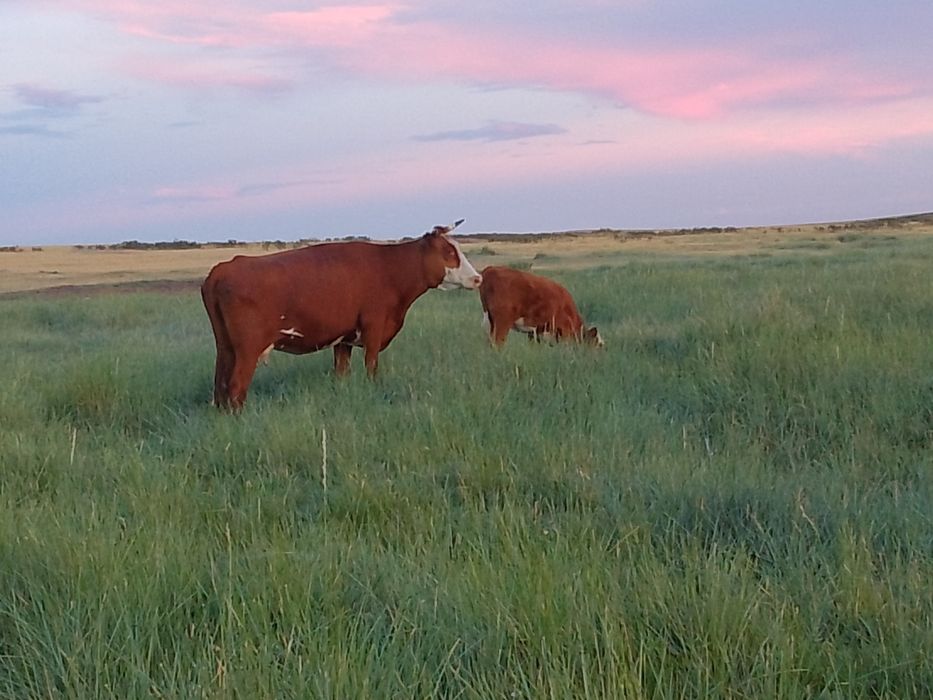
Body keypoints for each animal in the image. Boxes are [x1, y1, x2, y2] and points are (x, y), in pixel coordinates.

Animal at [201, 220, 481, 410]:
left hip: (225, 348)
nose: (477, 278)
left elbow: (342, 373)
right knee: (236, 388)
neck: (390, 269)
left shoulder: (343, 338)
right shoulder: (374, 327)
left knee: (220, 387)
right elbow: (371, 367)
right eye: (449, 252)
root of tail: (224, 268)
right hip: (247, 350)